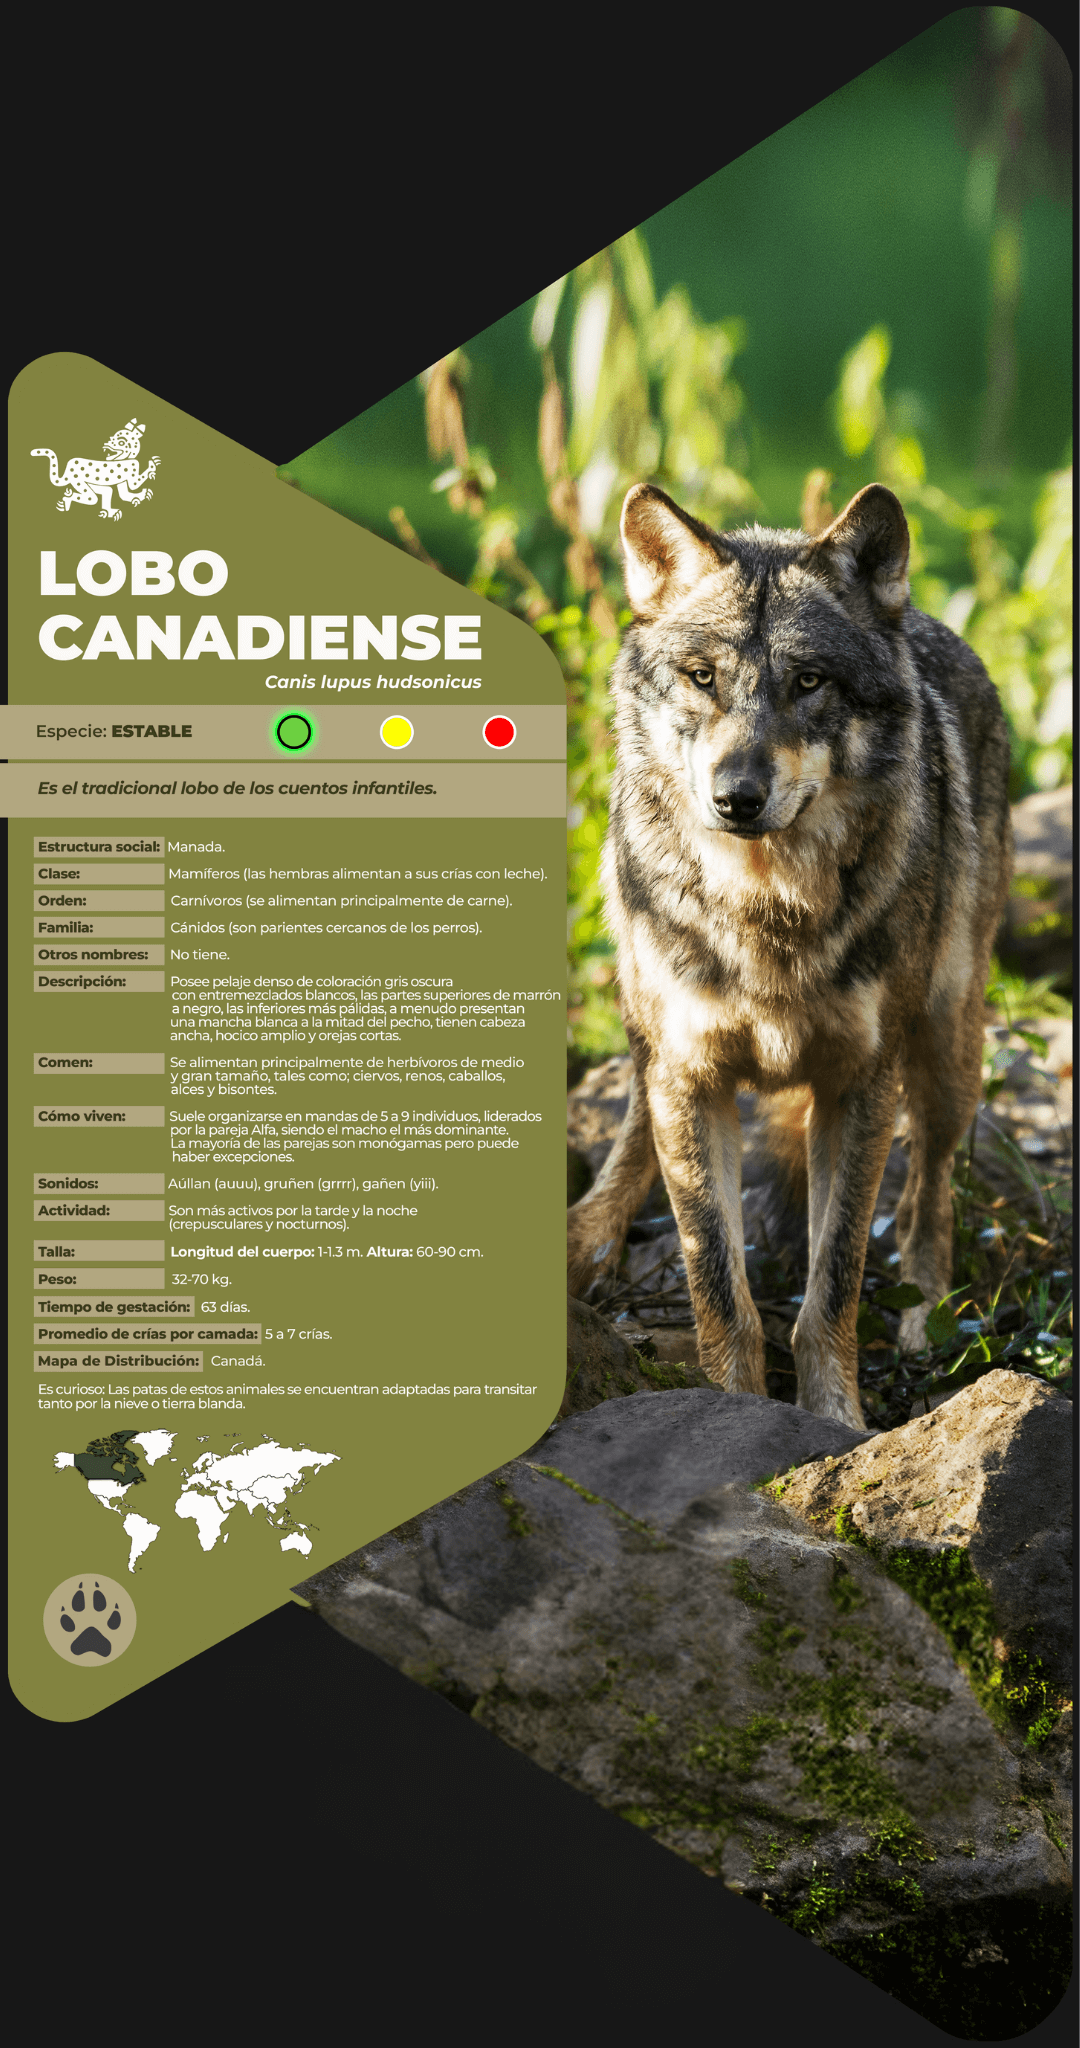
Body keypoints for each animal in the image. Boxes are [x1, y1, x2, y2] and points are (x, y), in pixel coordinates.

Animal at [566, 482, 1013, 1429]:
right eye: (703, 677)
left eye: (808, 681)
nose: (737, 796)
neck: (766, 911)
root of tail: (927, 625)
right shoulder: (689, 1076)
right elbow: (716, 1280)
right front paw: (740, 1414)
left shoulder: (861, 1081)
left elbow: (833, 1277)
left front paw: (834, 1421)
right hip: (647, 1035)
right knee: (633, 1137)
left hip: (945, 1049)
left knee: (931, 1194)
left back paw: (923, 1318)